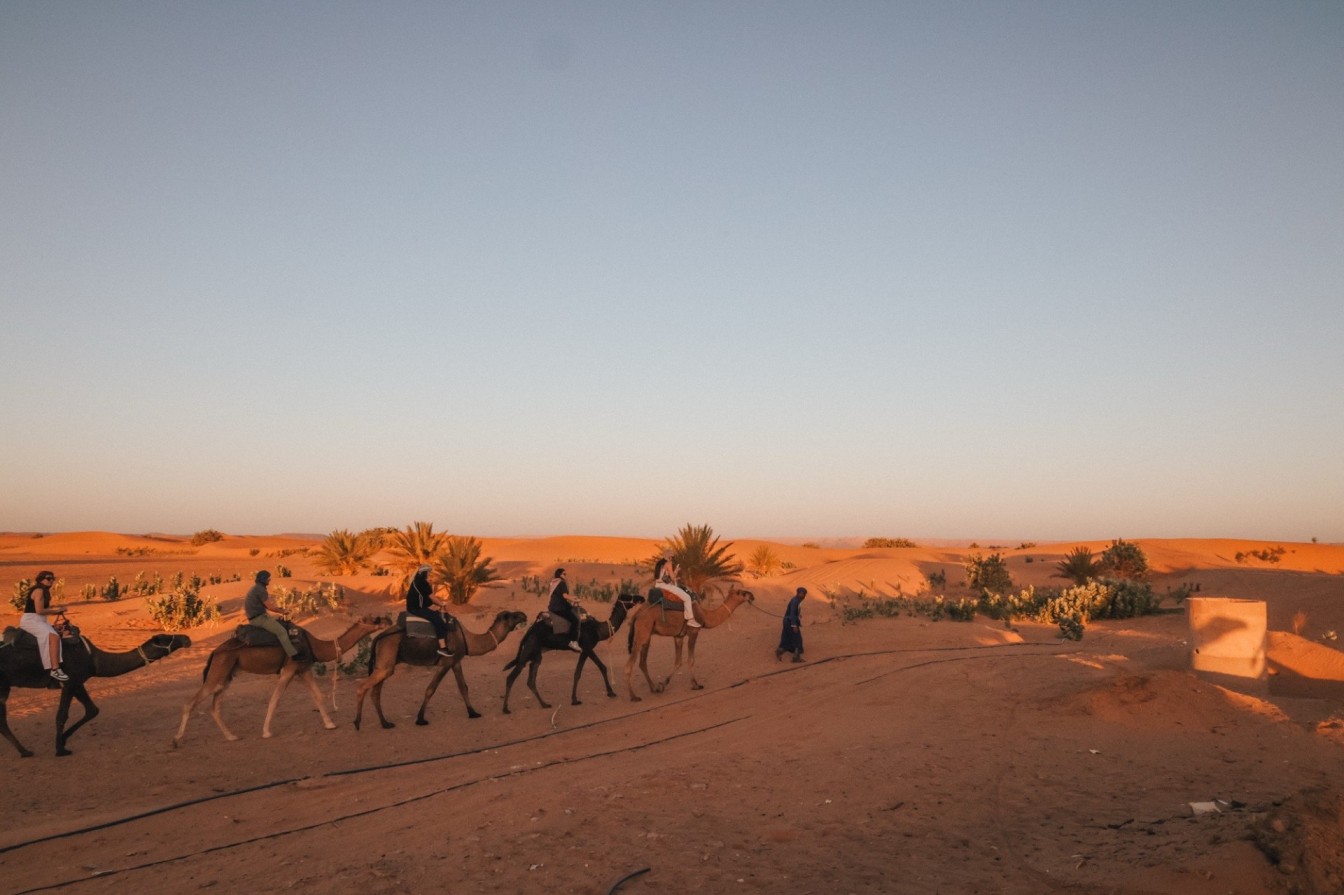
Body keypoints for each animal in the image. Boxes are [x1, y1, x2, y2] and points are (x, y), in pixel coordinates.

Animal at [0, 628, 191, 757]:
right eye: (165, 638)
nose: (186, 638)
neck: (94, 659)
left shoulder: (78, 682)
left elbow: (92, 710)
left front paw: (63, 739)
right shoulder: (70, 681)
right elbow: (61, 715)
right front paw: (60, 748)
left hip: (5, 687)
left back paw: (24, 751)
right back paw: (25, 751)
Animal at [172, 615, 385, 746]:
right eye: (374, 619)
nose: (386, 620)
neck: (314, 644)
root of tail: (215, 652)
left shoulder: (303, 669)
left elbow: (318, 696)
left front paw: (330, 724)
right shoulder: (290, 668)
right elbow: (275, 699)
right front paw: (266, 732)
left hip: (226, 674)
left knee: (214, 706)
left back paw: (232, 736)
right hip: (219, 670)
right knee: (191, 702)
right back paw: (176, 740)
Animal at [353, 610, 528, 730]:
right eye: (511, 616)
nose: (523, 615)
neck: (467, 638)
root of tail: (378, 637)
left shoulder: (456, 662)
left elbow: (463, 687)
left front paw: (473, 713)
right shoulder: (445, 662)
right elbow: (430, 689)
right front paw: (420, 719)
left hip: (385, 664)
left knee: (375, 692)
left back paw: (385, 723)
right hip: (386, 661)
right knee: (362, 686)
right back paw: (357, 722)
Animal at [501, 593, 642, 714]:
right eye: (627, 596)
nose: (641, 598)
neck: (598, 629)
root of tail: (529, 631)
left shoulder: (583, 650)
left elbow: (577, 672)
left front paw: (574, 699)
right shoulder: (587, 647)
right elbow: (602, 667)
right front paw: (611, 692)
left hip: (537, 654)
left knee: (531, 679)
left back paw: (545, 704)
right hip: (529, 649)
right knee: (511, 676)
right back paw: (506, 709)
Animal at [624, 585, 754, 701]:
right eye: (742, 593)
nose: (752, 596)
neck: (704, 615)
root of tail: (637, 614)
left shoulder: (678, 636)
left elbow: (678, 661)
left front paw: (663, 684)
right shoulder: (693, 631)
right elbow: (691, 660)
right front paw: (696, 684)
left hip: (647, 635)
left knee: (642, 662)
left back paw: (653, 688)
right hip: (642, 632)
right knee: (629, 664)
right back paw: (634, 696)